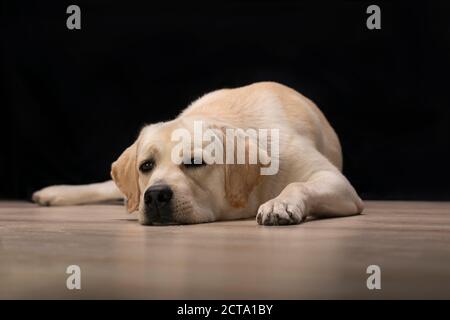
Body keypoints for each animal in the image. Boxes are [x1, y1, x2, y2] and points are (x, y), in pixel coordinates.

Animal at [32, 82, 362, 225]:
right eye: (146, 166)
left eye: (195, 163)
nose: (155, 196)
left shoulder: (335, 182)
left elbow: (297, 184)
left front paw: (279, 203)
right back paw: (55, 192)